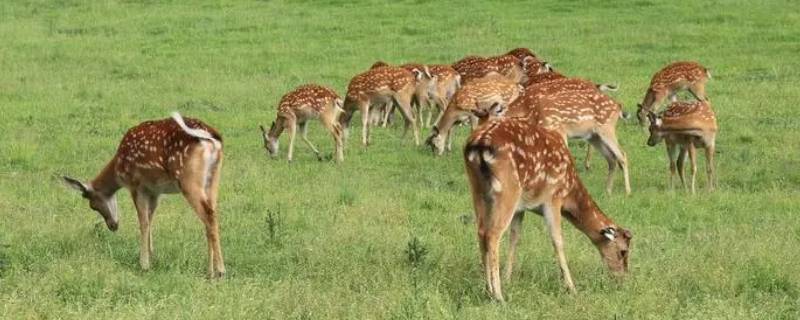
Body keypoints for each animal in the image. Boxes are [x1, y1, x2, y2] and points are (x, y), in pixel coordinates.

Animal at [61, 112, 225, 278]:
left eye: (93, 205)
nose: (112, 226)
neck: (118, 169)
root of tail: (212, 137)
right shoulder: (154, 191)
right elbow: (151, 219)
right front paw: (152, 256)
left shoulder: (136, 185)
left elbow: (143, 222)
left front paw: (144, 264)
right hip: (213, 180)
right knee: (211, 215)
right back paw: (210, 271)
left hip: (188, 179)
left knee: (209, 216)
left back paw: (220, 270)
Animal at [462, 116, 632, 302]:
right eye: (623, 251)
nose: (623, 278)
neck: (570, 191)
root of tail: (478, 145)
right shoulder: (553, 198)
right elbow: (557, 240)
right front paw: (571, 287)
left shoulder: (520, 208)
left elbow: (515, 237)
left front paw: (507, 277)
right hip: (508, 189)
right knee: (492, 234)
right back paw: (498, 295)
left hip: (477, 188)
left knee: (481, 231)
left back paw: (487, 288)